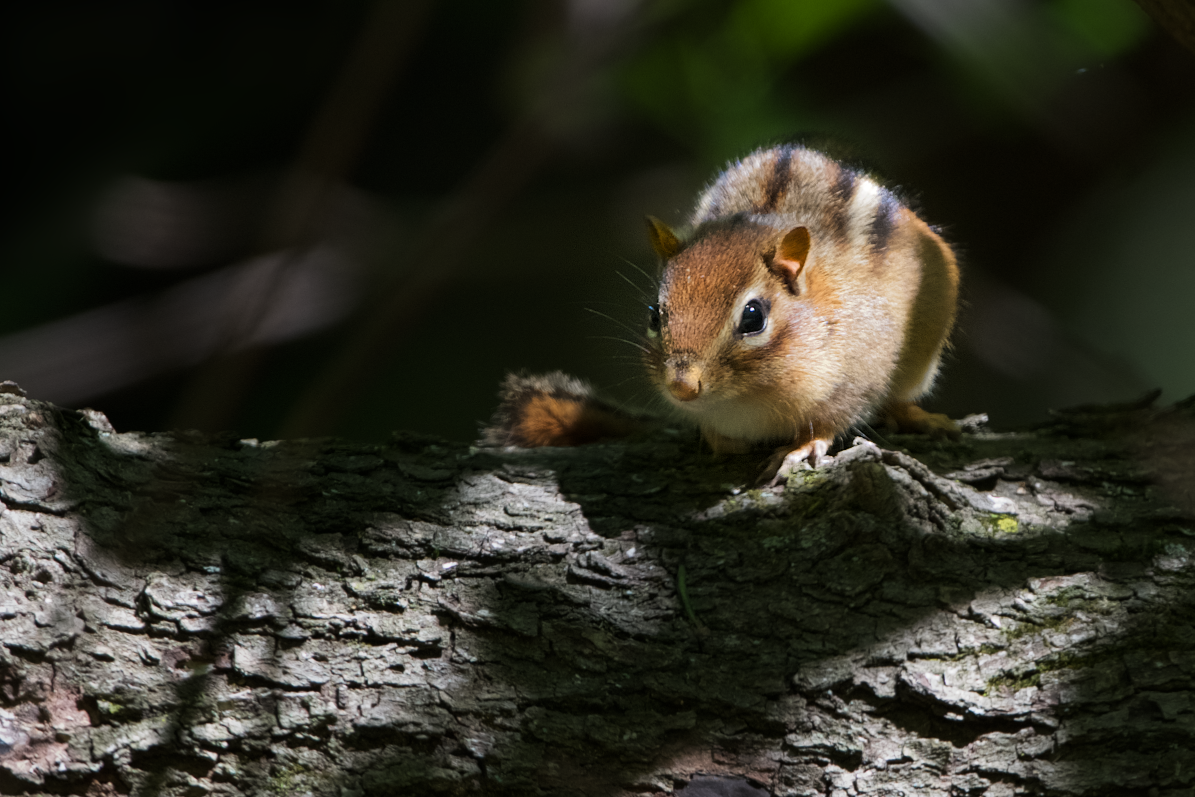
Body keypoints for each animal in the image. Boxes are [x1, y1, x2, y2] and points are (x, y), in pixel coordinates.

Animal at [485, 144, 960, 484]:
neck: (750, 397)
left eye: (753, 318)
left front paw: (802, 447)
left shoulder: (860, 371)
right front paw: (716, 437)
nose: (682, 386)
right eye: (654, 314)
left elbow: (832, 419)